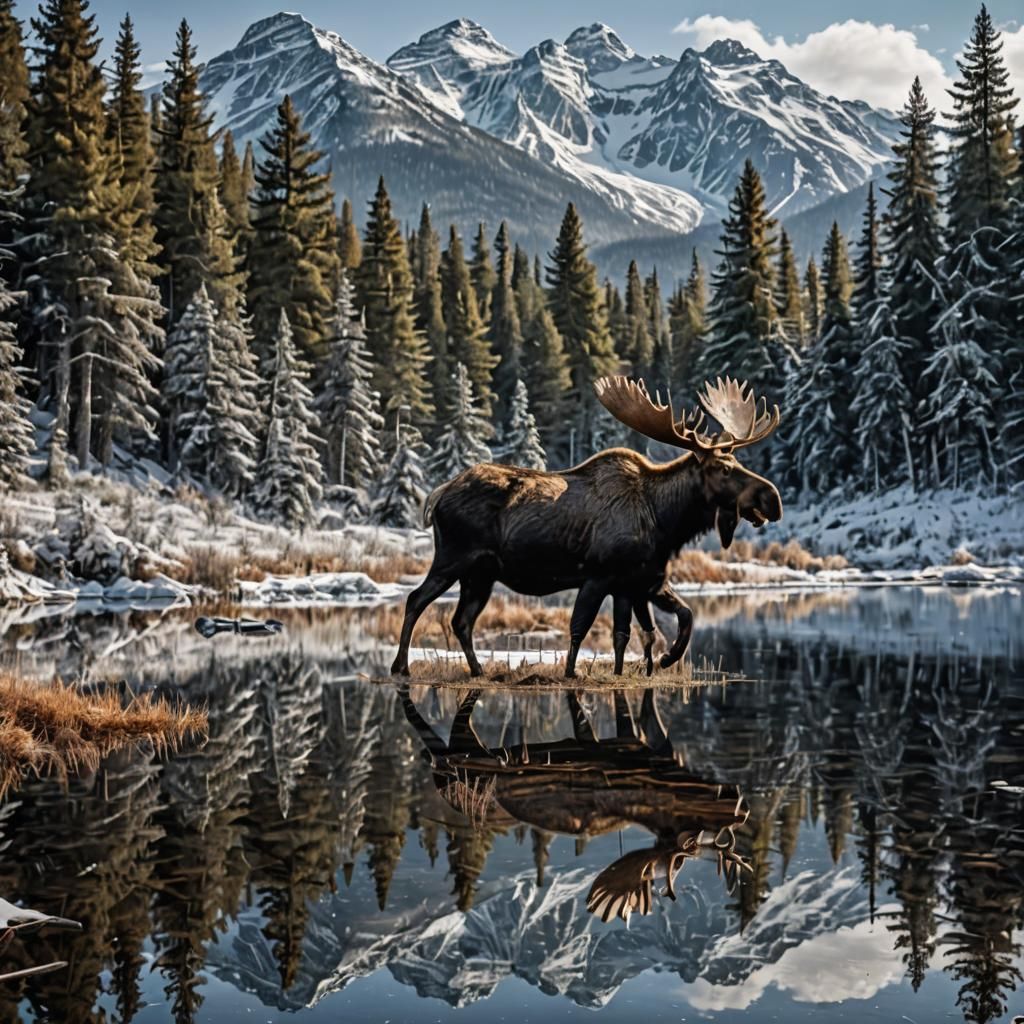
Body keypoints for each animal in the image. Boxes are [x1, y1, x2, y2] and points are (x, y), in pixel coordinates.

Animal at [390, 375, 783, 679]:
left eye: (738, 462)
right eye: (723, 469)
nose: (773, 499)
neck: (665, 523)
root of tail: (438, 494)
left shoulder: (640, 582)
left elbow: (652, 626)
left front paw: (657, 661)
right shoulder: (599, 575)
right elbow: (580, 629)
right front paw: (571, 673)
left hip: (481, 574)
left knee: (462, 620)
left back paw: (477, 670)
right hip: (453, 558)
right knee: (416, 600)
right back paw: (401, 666)